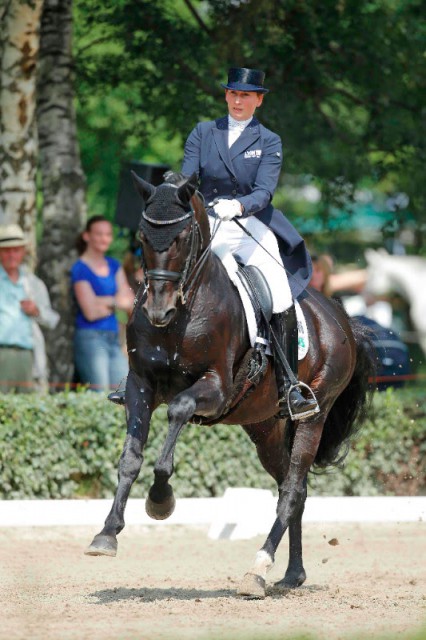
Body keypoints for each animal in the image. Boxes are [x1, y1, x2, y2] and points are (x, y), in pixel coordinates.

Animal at [85, 171, 372, 600]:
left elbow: (178, 411)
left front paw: (160, 499)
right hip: (264, 426)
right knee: (293, 487)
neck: (182, 313)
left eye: (182, 236)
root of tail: (340, 316)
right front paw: (106, 535)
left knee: (292, 489)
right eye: (140, 237)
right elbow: (130, 458)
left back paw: (258, 570)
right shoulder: (140, 387)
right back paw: (291, 573)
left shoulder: (215, 388)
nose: (157, 311)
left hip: (312, 416)